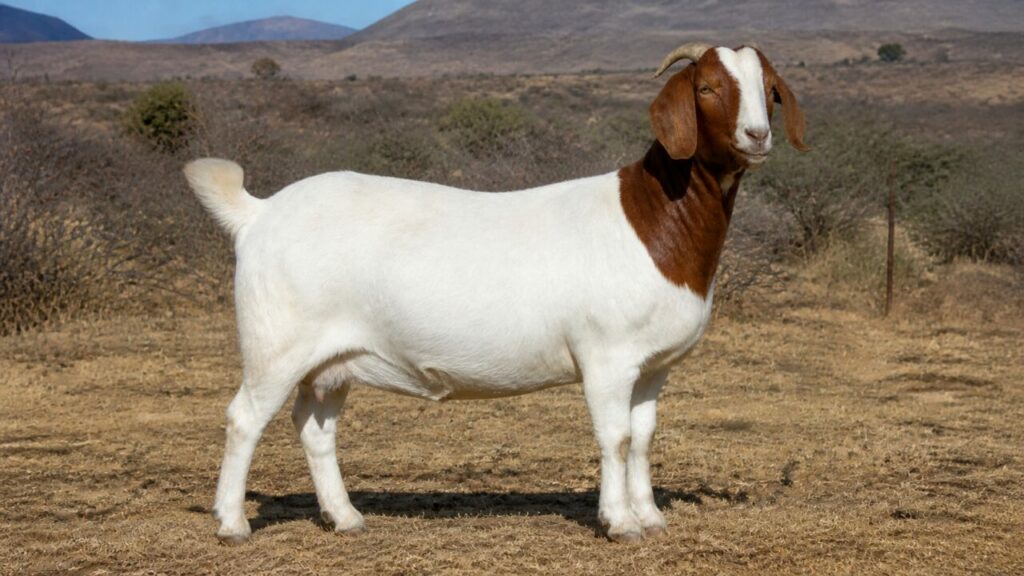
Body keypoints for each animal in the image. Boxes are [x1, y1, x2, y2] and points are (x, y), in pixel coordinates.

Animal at [184, 43, 808, 545]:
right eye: (706, 87)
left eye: (769, 89)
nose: (757, 136)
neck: (653, 218)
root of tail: (259, 214)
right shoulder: (606, 357)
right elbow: (616, 438)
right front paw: (619, 522)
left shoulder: (653, 366)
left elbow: (644, 438)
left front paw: (650, 515)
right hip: (276, 344)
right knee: (244, 418)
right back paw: (232, 523)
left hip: (332, 361)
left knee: (315, 428)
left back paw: (346, 517)